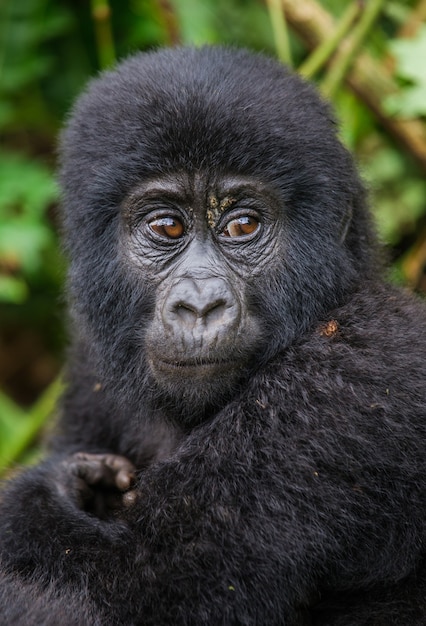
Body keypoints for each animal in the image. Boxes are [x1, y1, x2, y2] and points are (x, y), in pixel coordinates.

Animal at [0, 46, 426, 620]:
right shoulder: (92, 360)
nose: (200, 306)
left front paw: (52, 491)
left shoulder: (350, 380)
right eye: (167, 227)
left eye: (243, 226)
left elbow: (142, 590)